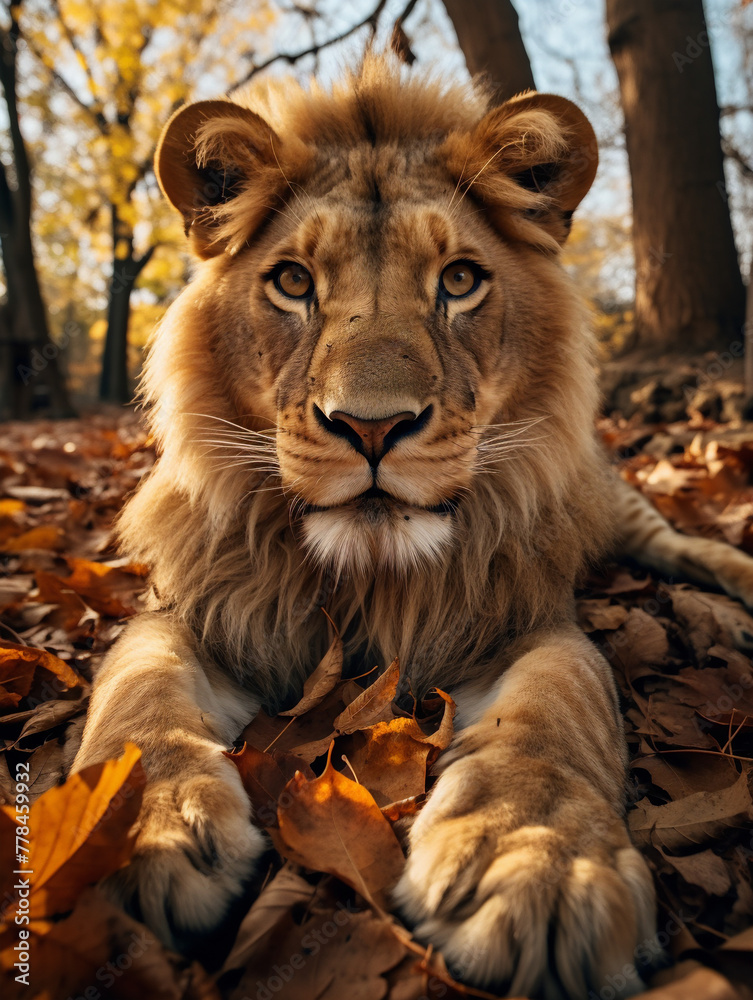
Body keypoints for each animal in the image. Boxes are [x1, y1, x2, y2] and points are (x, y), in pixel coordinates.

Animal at [71, 56, 753, 999]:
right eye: (292, 282)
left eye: (459, 281)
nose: (371, 426)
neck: (369, 576)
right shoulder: (192, 609)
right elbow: (134, 695)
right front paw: (141, 834)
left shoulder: (531, 619)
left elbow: (560, 702)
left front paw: (533, 863)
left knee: (675, 544)